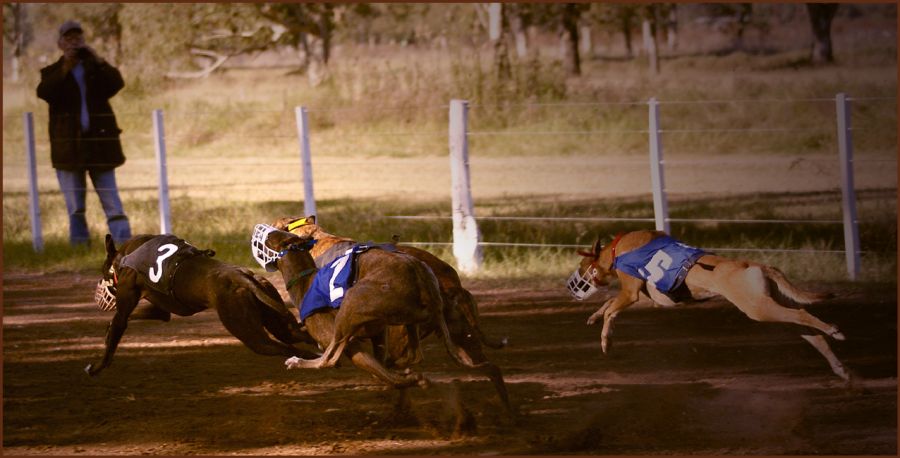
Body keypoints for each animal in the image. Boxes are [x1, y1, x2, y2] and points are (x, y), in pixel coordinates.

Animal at [87, 233, 320, 376]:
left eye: (102, 271)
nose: (97, 289)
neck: (125, 255)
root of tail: (242, 277)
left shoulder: (126, 301)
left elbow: (117, 327)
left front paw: (96, 367)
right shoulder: (161, 310)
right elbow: (137, 316)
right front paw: (107, 332)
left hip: (252, 336)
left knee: (285, 347)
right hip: (278, 322)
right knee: (296, 336)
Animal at [568, 231, 852, 382]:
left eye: (582, 267)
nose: (571, 285)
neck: (618, 249)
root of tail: (757, 266)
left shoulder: (630, 293)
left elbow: (611, 309)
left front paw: (606, 340)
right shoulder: (651, 299)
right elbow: (608, 304)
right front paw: (594, 317)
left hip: (758, 308)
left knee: (804, 314)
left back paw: (835, 331)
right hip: (775, 308)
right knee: (811, 332)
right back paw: (840, 368)